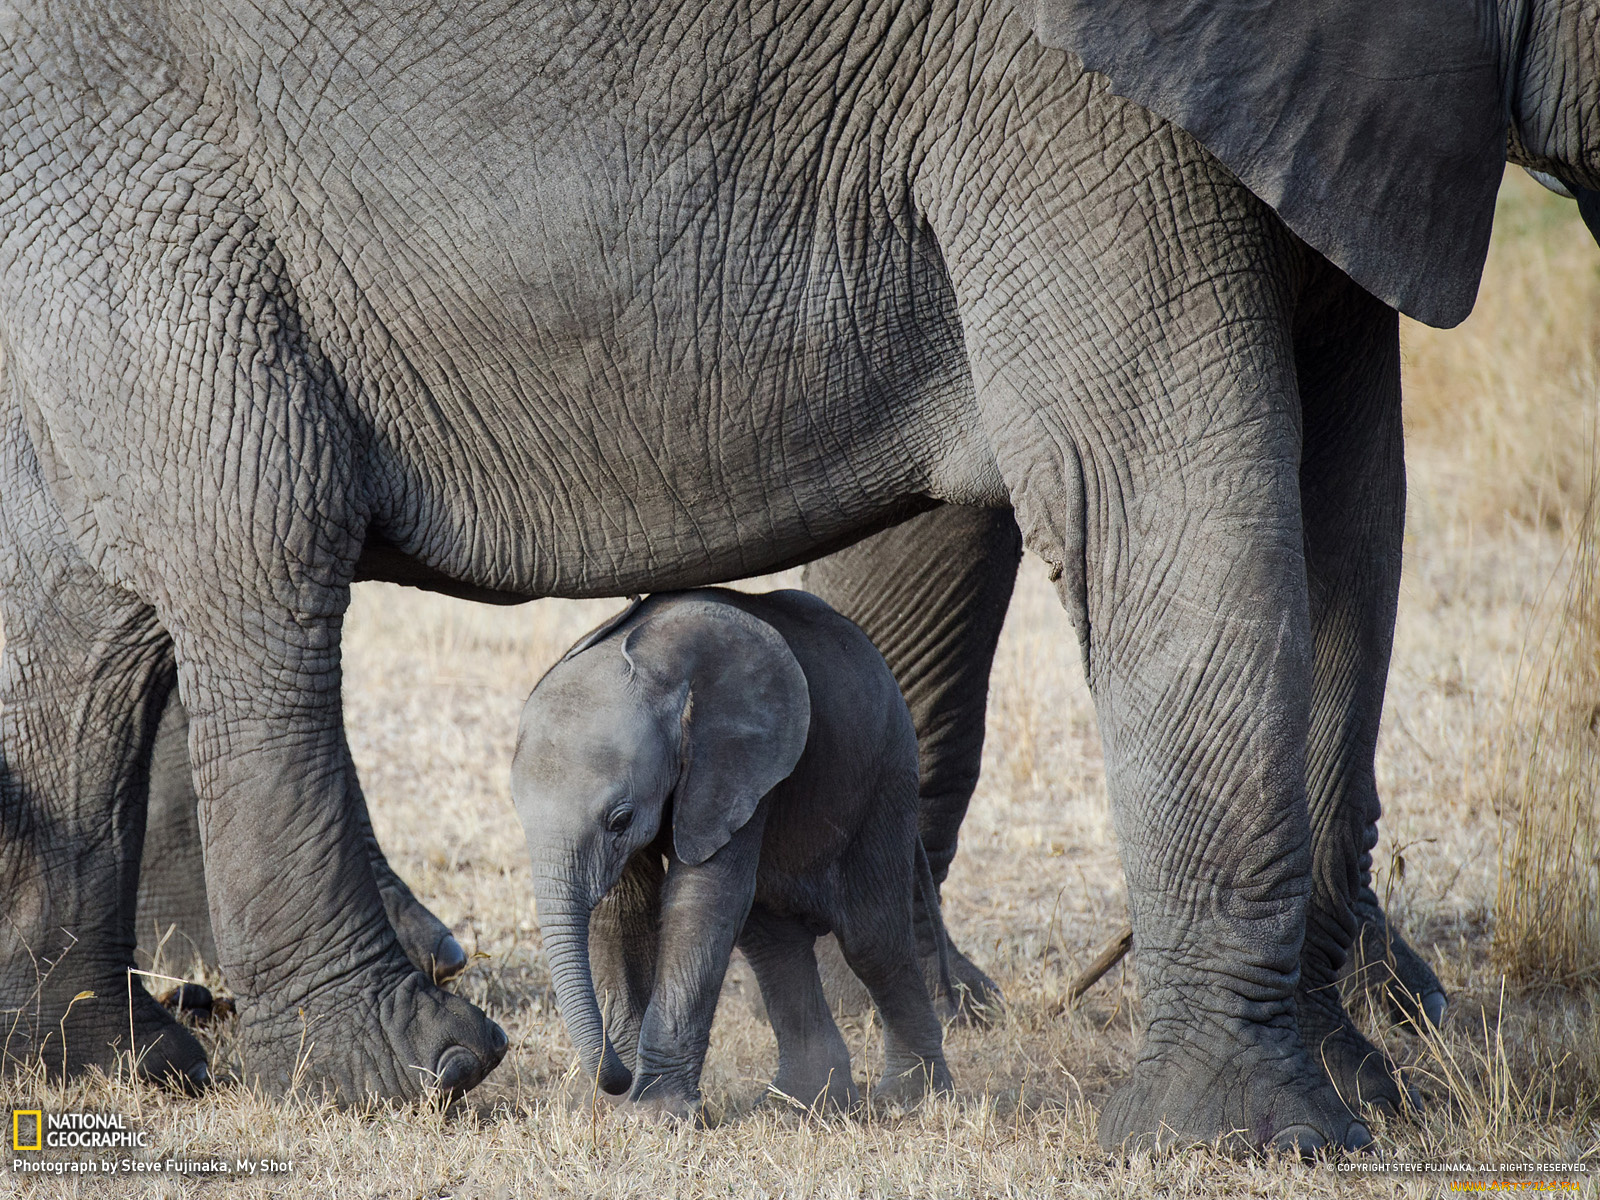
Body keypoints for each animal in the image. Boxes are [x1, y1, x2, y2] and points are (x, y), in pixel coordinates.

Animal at [518, 588, 953, 1120]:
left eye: (620, 819)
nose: (617, 1079)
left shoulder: (738, 763)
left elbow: (703, 900)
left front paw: (657, 1115)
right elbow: (622, 909)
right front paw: (629, 1107)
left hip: (886, 774)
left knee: (873, 939)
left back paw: (912, 1101)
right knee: (772, 938)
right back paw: (805, 1106)